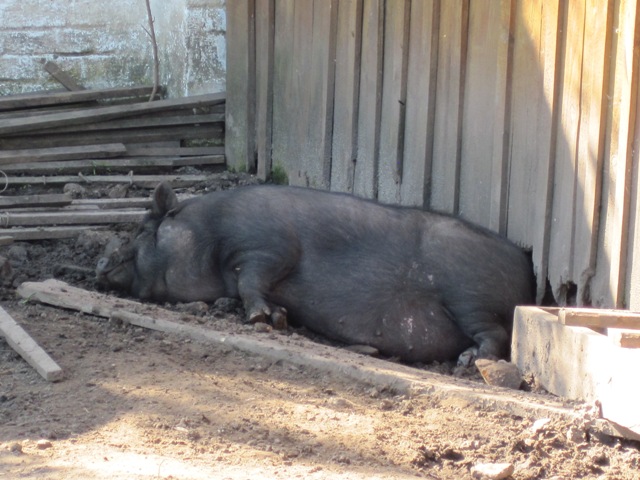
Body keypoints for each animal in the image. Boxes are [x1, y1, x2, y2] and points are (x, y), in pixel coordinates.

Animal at [96, 182, 536, 362]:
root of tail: (528, 268)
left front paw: (263, 319)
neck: (208, 232)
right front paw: (274, 317)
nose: (100, 262)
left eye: (142, 230)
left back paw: (467, 361)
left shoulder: (268, 245)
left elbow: (252, 279)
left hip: (470, 296)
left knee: (496, 334)